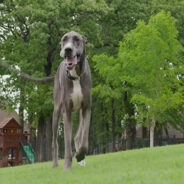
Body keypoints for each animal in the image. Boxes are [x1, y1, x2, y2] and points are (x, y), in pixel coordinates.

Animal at [52, 30, 91, 170]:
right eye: (64, 39)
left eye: (77, 39)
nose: (67, 49)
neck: (76, 76)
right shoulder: (67, 111)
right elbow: (67, 142)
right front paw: (67, 166)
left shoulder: (86, 108)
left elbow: (84, 140)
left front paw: (80, 156)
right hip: (56, 112)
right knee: (55, 142)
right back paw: (55, 164)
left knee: (78, 136)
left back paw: (81, 159)